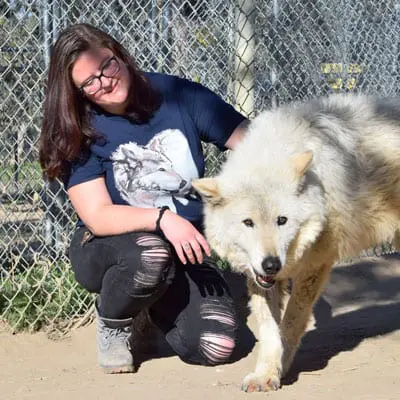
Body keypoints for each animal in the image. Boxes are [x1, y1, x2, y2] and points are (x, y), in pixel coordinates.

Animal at [192, 93, 400, 392]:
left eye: (282, 220)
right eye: (248, 223)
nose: (271, 264)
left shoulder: (315, 266)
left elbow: (290, 322)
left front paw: (281, 367)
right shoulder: (259, 279)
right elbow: (269, 331)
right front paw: (265, 374)